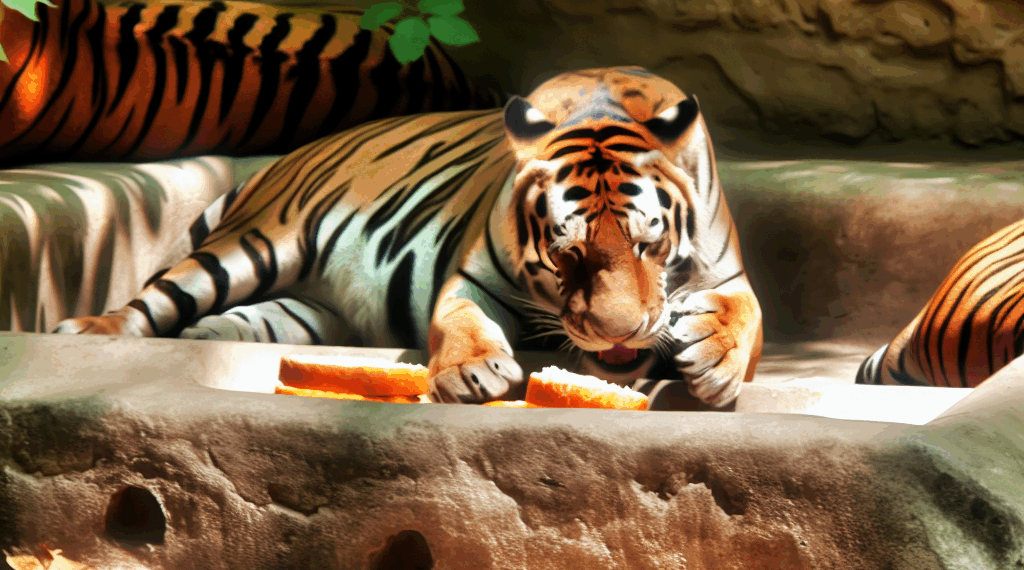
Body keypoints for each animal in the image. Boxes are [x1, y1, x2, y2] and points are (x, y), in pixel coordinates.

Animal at [53, 66, 764, 408]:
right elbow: (459, 319)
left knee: (267, 318)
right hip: (251, 245)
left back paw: (210, 334)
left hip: (316, 308)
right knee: (154, 299)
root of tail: (292, 156)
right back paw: (84, 330)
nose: (620, 332)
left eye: (648, 245)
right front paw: (474, 370)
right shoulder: (472, 276)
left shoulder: (729, 273)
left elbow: (746, 313)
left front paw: (716, 359)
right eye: (567, 253)